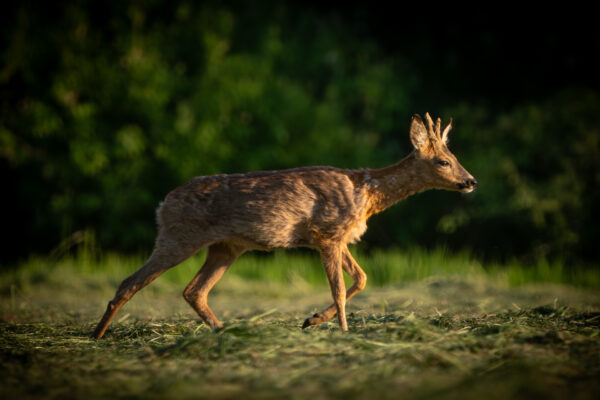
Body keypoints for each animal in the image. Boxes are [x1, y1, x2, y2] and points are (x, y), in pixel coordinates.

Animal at [91, 112, 476, 338]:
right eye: (443, 161)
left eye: (455, 157)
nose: (470, 181)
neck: (367, 191)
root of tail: (163, 203)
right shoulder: (327, 234)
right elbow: (340, 288)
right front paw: (342, 332)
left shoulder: (339, 238)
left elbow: (362, 278)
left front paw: (312, 320)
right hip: (179, 236)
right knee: (130, 282)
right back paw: (96, 336)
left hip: (226, 247)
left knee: (193, 291)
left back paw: (223, 331)